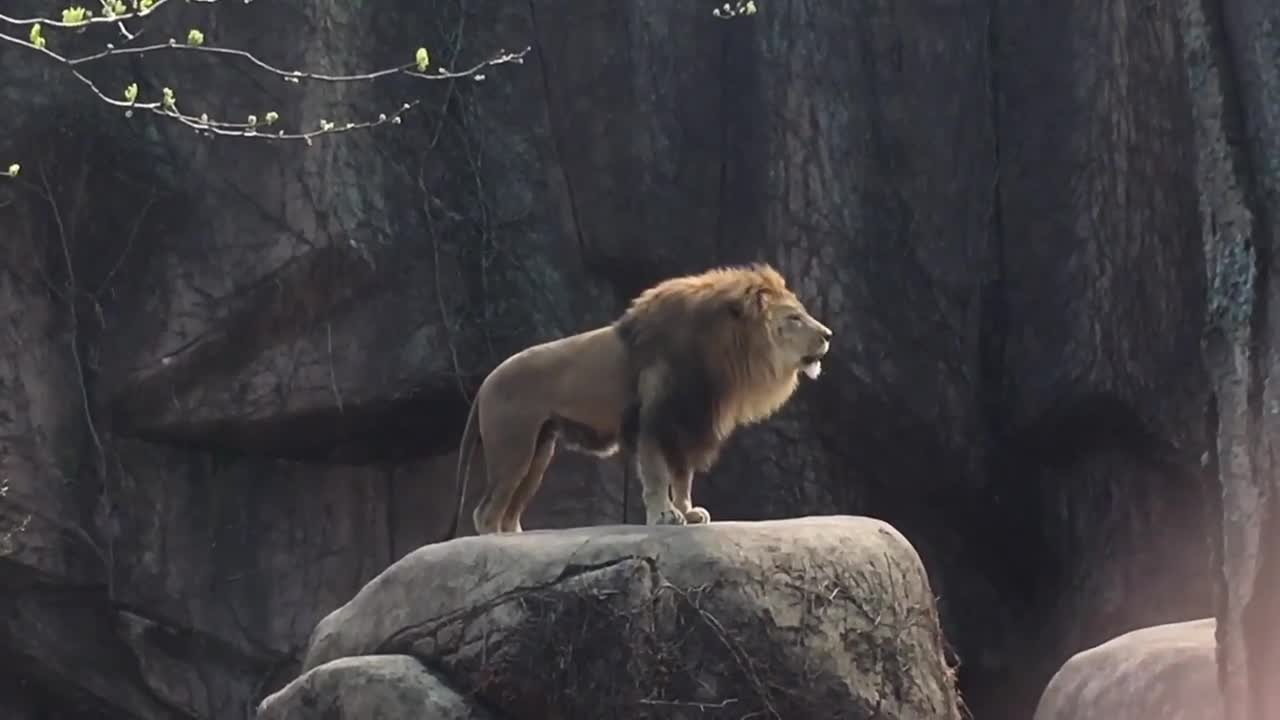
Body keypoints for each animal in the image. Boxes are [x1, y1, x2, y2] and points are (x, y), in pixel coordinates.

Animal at [445, 260, 834, 535]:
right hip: (514, 449)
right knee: (486, 512)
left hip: (539, 451)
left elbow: (683, 476)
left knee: (508, 510)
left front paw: (688, 511)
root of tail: (486, 383)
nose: (829, 335)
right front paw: (664, 515)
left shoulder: (686, 423)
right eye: (794, 318)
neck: (724, 356)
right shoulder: (653, 420)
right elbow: (658, 474)